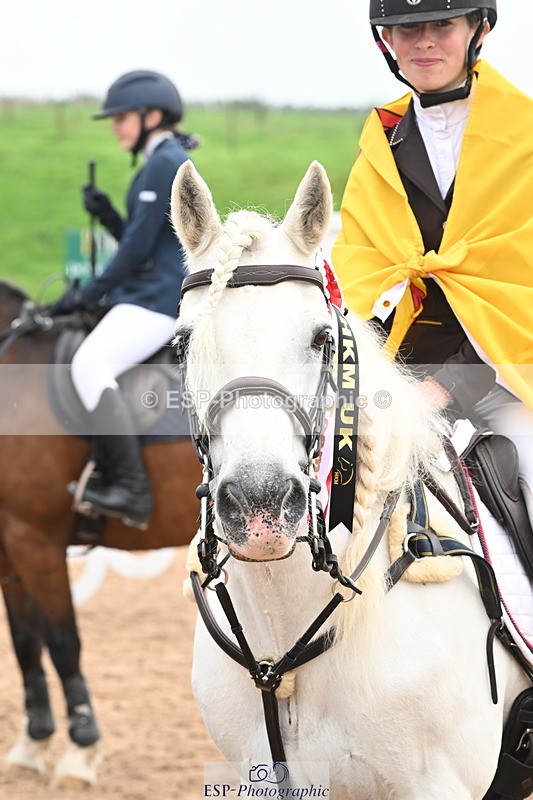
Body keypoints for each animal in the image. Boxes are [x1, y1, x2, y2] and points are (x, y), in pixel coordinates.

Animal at [0, 281, 201, 786]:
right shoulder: (7, 548)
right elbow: (25, 643)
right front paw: (32, 741)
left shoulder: (35, 540)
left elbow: (63, 641)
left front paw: (81, 749)